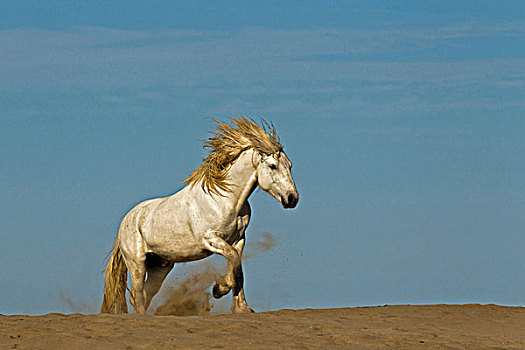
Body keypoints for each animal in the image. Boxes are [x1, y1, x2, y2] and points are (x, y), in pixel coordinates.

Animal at [101, 117, 298, 314]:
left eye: (289, 165)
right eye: (272, 166)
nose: (292, 198)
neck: (225, 199)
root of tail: (127, 220)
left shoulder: (239, 239)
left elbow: (238, 269)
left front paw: (242, 308)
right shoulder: (210, 239)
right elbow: (233, 258)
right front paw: (219, 289)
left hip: (160, 265)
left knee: (146, 292)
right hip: (137, 263)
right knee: (137, 294)